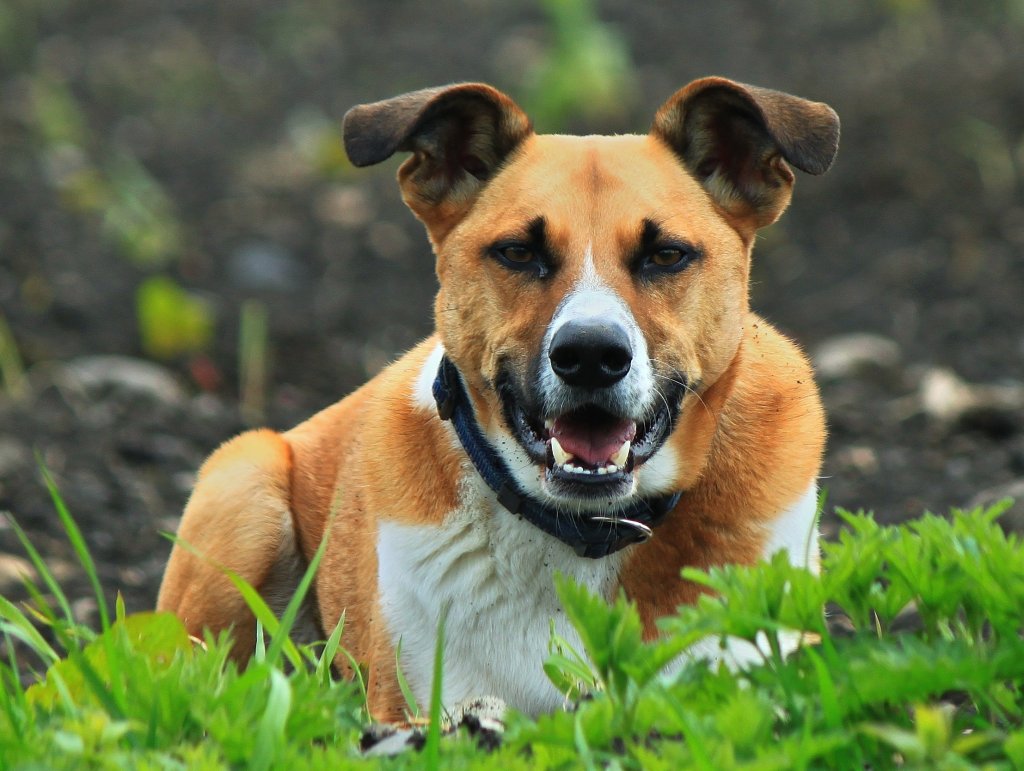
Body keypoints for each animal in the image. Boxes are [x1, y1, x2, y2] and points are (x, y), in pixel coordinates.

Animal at [155, 75, 835, 720]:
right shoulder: (420, 705)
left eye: (667, 254)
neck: (583, 529)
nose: (591, 355)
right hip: (245, 485)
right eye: (518, 252)